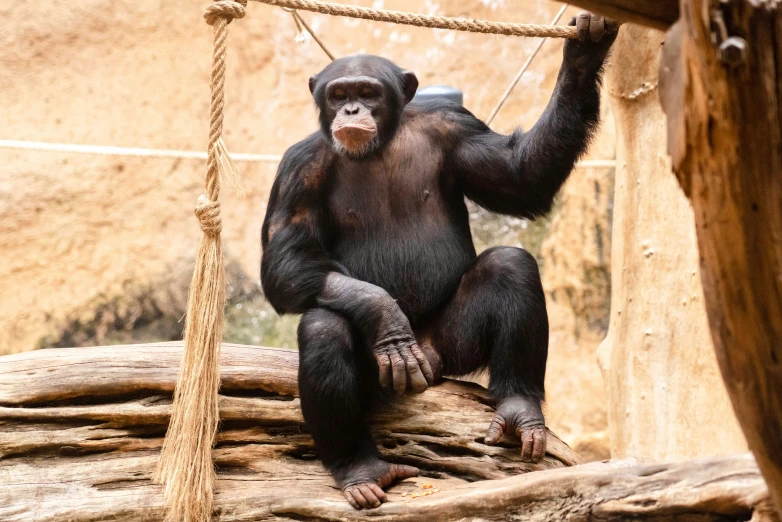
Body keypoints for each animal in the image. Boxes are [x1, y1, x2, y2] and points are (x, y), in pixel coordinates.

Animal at [264, 11, 620, 508]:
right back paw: (359, 468)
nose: (351, 111)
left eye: (367, 93)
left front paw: (585, 53)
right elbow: (284, 260)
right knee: (323, 328)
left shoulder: (457, 129)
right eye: (338, 95)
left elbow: (519, 176)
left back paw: (519, 406)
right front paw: (384, 315)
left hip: (450, 347)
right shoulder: (297, 169)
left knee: (510, 265)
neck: (381, 147)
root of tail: (430, 357)